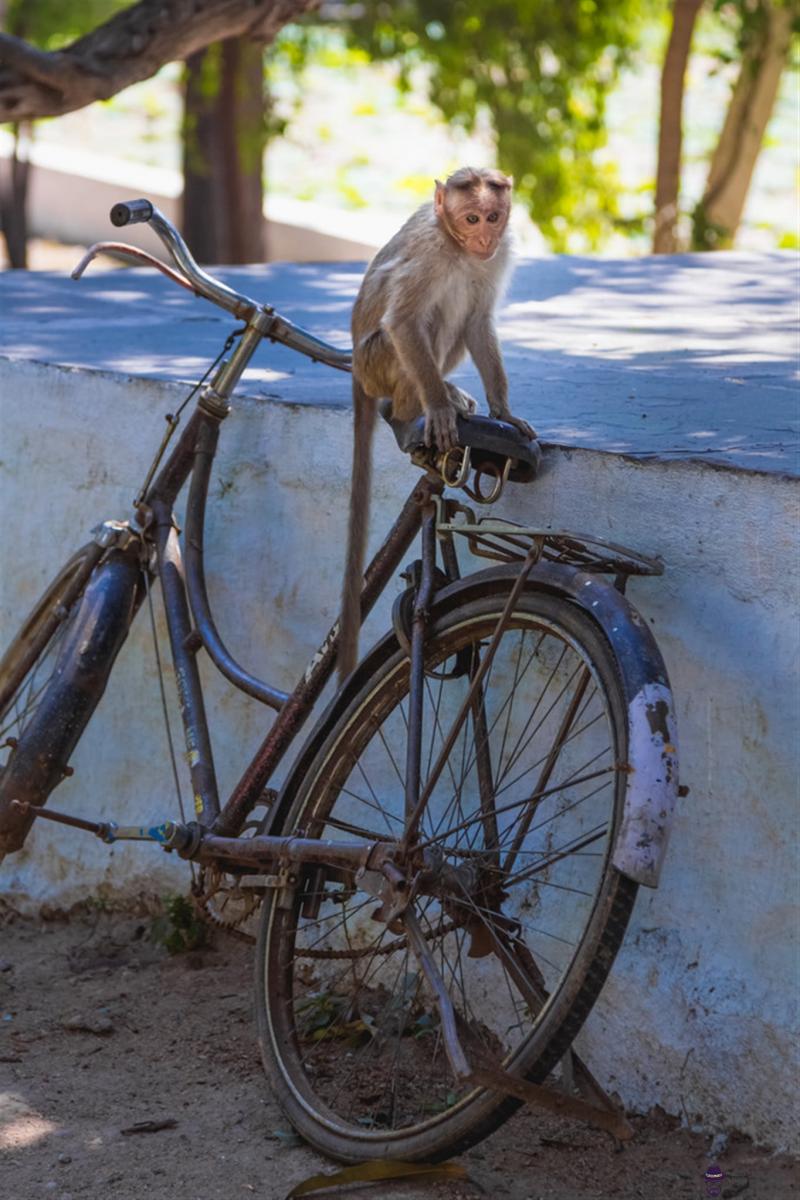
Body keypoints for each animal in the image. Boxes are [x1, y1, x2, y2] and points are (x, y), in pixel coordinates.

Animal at [335, 166, 534, 686]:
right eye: (470, 218)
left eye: (493, 217)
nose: (483, 237)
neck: (456, 246)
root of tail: (357, 372)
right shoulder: (429, 255)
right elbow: (405, 320)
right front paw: (440, 411)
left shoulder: (497, 255)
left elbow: (480, 321)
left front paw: (503, 412)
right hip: (379, 362)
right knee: (428, 319)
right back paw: (419, 406)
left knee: (461, 314)